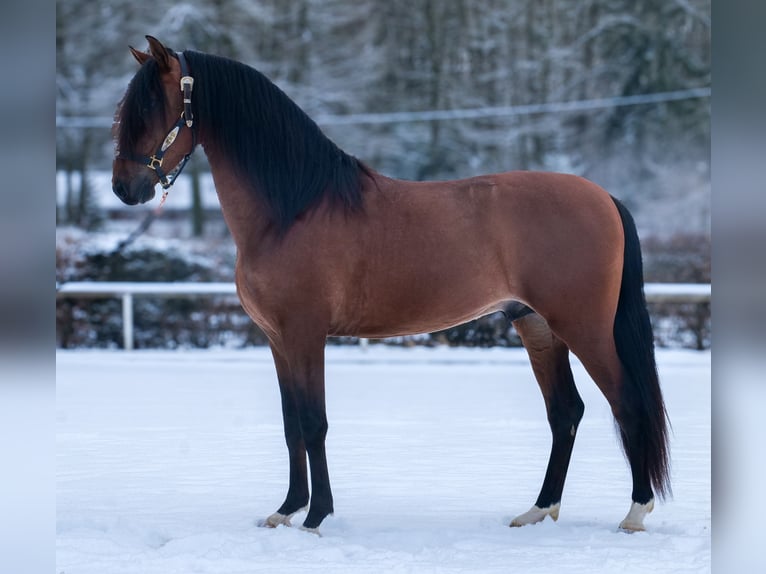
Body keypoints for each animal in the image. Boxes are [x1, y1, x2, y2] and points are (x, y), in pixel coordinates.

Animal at [112, 36, 670, 534]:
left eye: (153, 108)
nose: (124, 188)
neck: (292, 209)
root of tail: (604, 198)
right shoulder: (277, 340)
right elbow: (292, 424)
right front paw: (286, 510)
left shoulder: (305, 335)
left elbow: (314, 422)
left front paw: (316, 518)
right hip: (537, 327)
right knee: (565, 411)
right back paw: (537, 511)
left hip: (583, 327)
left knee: (627, 402)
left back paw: (634, 514)